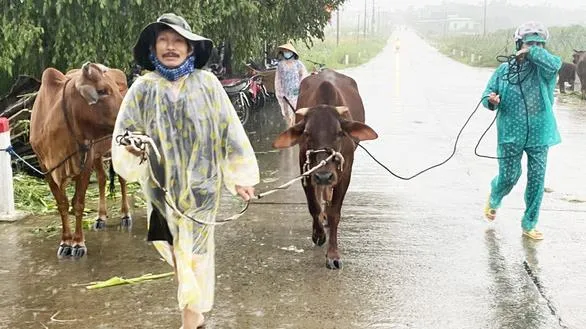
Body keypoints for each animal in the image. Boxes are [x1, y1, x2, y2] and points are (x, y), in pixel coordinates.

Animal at [29, 61, 129, 256]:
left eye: (115, 88)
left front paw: (78, 243)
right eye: (102, 90)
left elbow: (78, 203)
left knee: (122, 180)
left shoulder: (85, 162)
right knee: (102, 179)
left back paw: (125, 215)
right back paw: (101, 217)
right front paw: (65, 242)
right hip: (98, 155)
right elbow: (62, 204)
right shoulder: (46, 168)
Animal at [272, 70, 376, 268]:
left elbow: (335, 213)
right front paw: (318, 234)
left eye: (340, 133)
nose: (324, 176)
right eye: (307, 134)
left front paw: (333, 255)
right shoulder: (306, 170)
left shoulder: (344, 173)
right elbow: (313, 206)